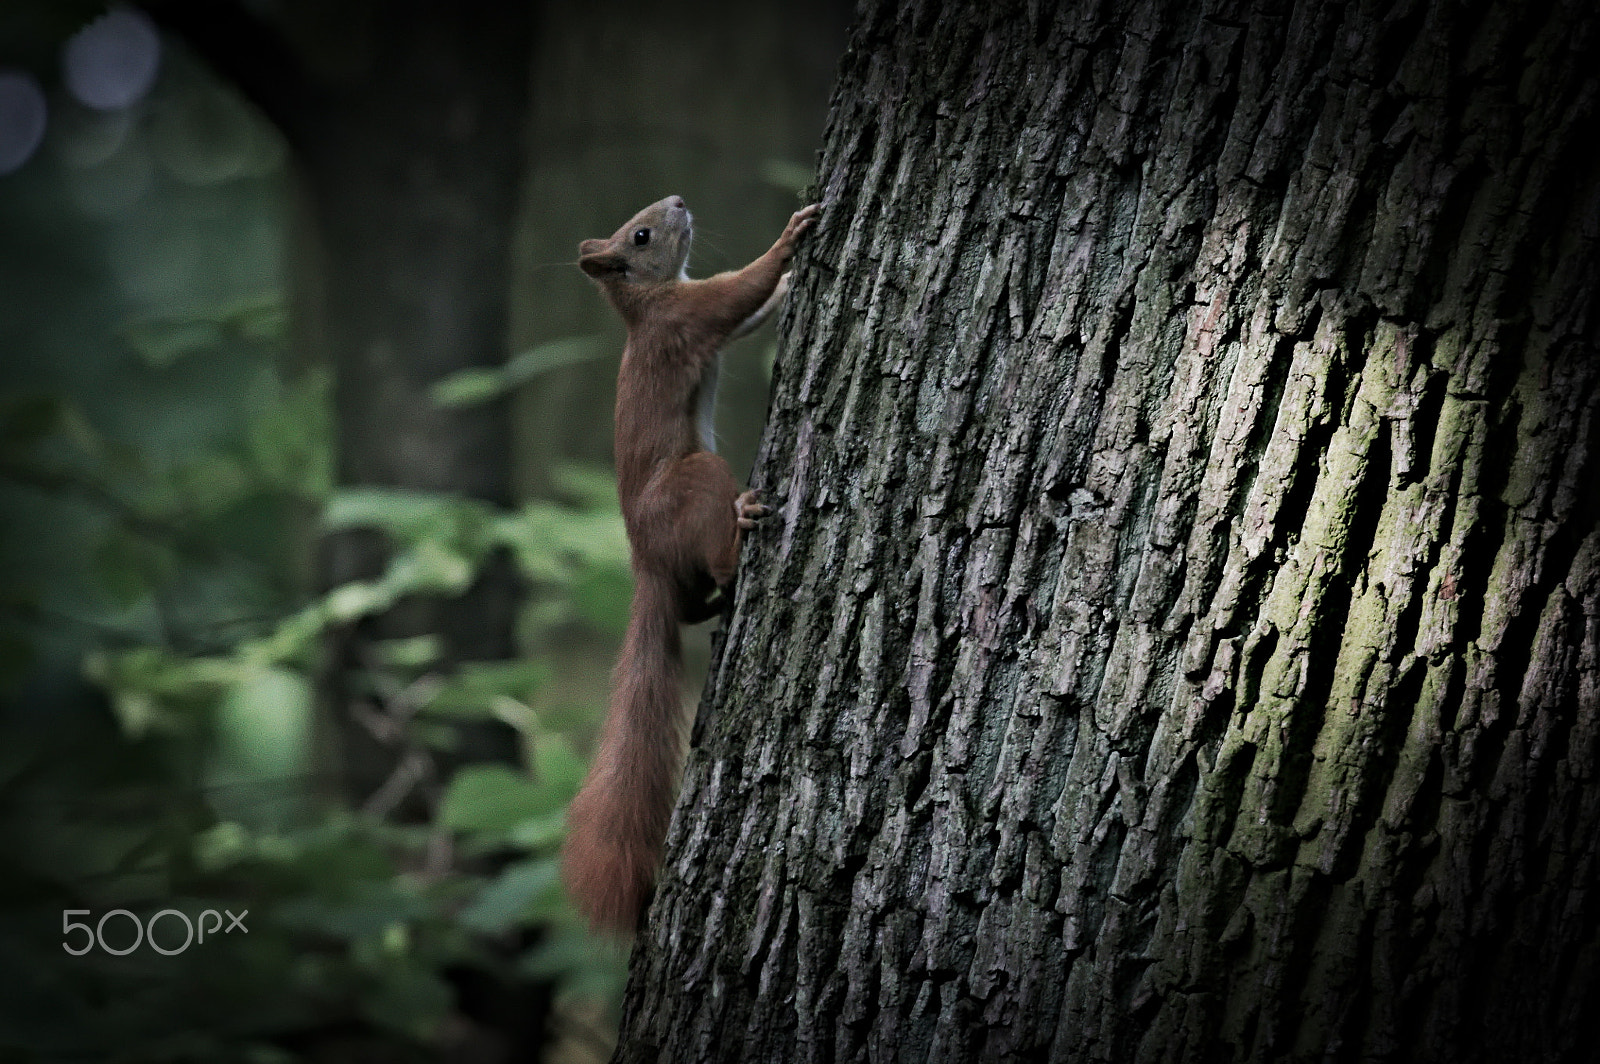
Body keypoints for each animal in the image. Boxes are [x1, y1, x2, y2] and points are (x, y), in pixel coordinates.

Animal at [562, 195, 820, 933]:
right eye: (642, 235)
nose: (678, 201)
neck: (645, 303)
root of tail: (645, 560)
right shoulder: (687, 318)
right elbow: (736, 293)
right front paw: (788, 241)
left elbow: (752, 312)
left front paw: (788, 285)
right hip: (697, 481)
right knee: (720, 563)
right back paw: (742, 529)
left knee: (692, 600)